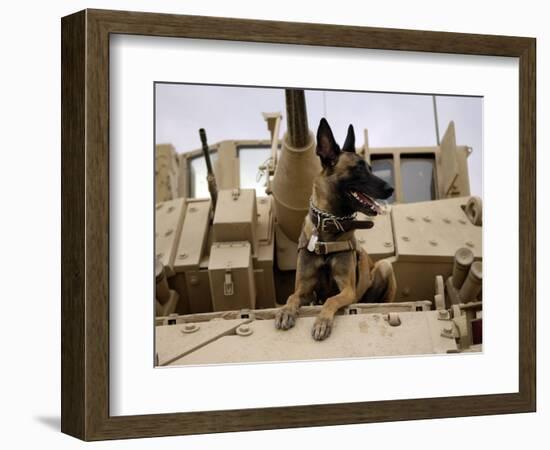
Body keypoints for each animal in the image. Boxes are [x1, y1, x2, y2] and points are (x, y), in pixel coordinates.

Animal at [276, 118, 396, 340]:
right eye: (358, 169)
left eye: (370, 168)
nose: (390, 189)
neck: (328, 227)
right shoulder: (304, 289)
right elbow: (291, 297)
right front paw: (286, 312)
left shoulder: (347, 290)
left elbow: (331, 300)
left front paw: (322, 322)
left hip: (384, 267)